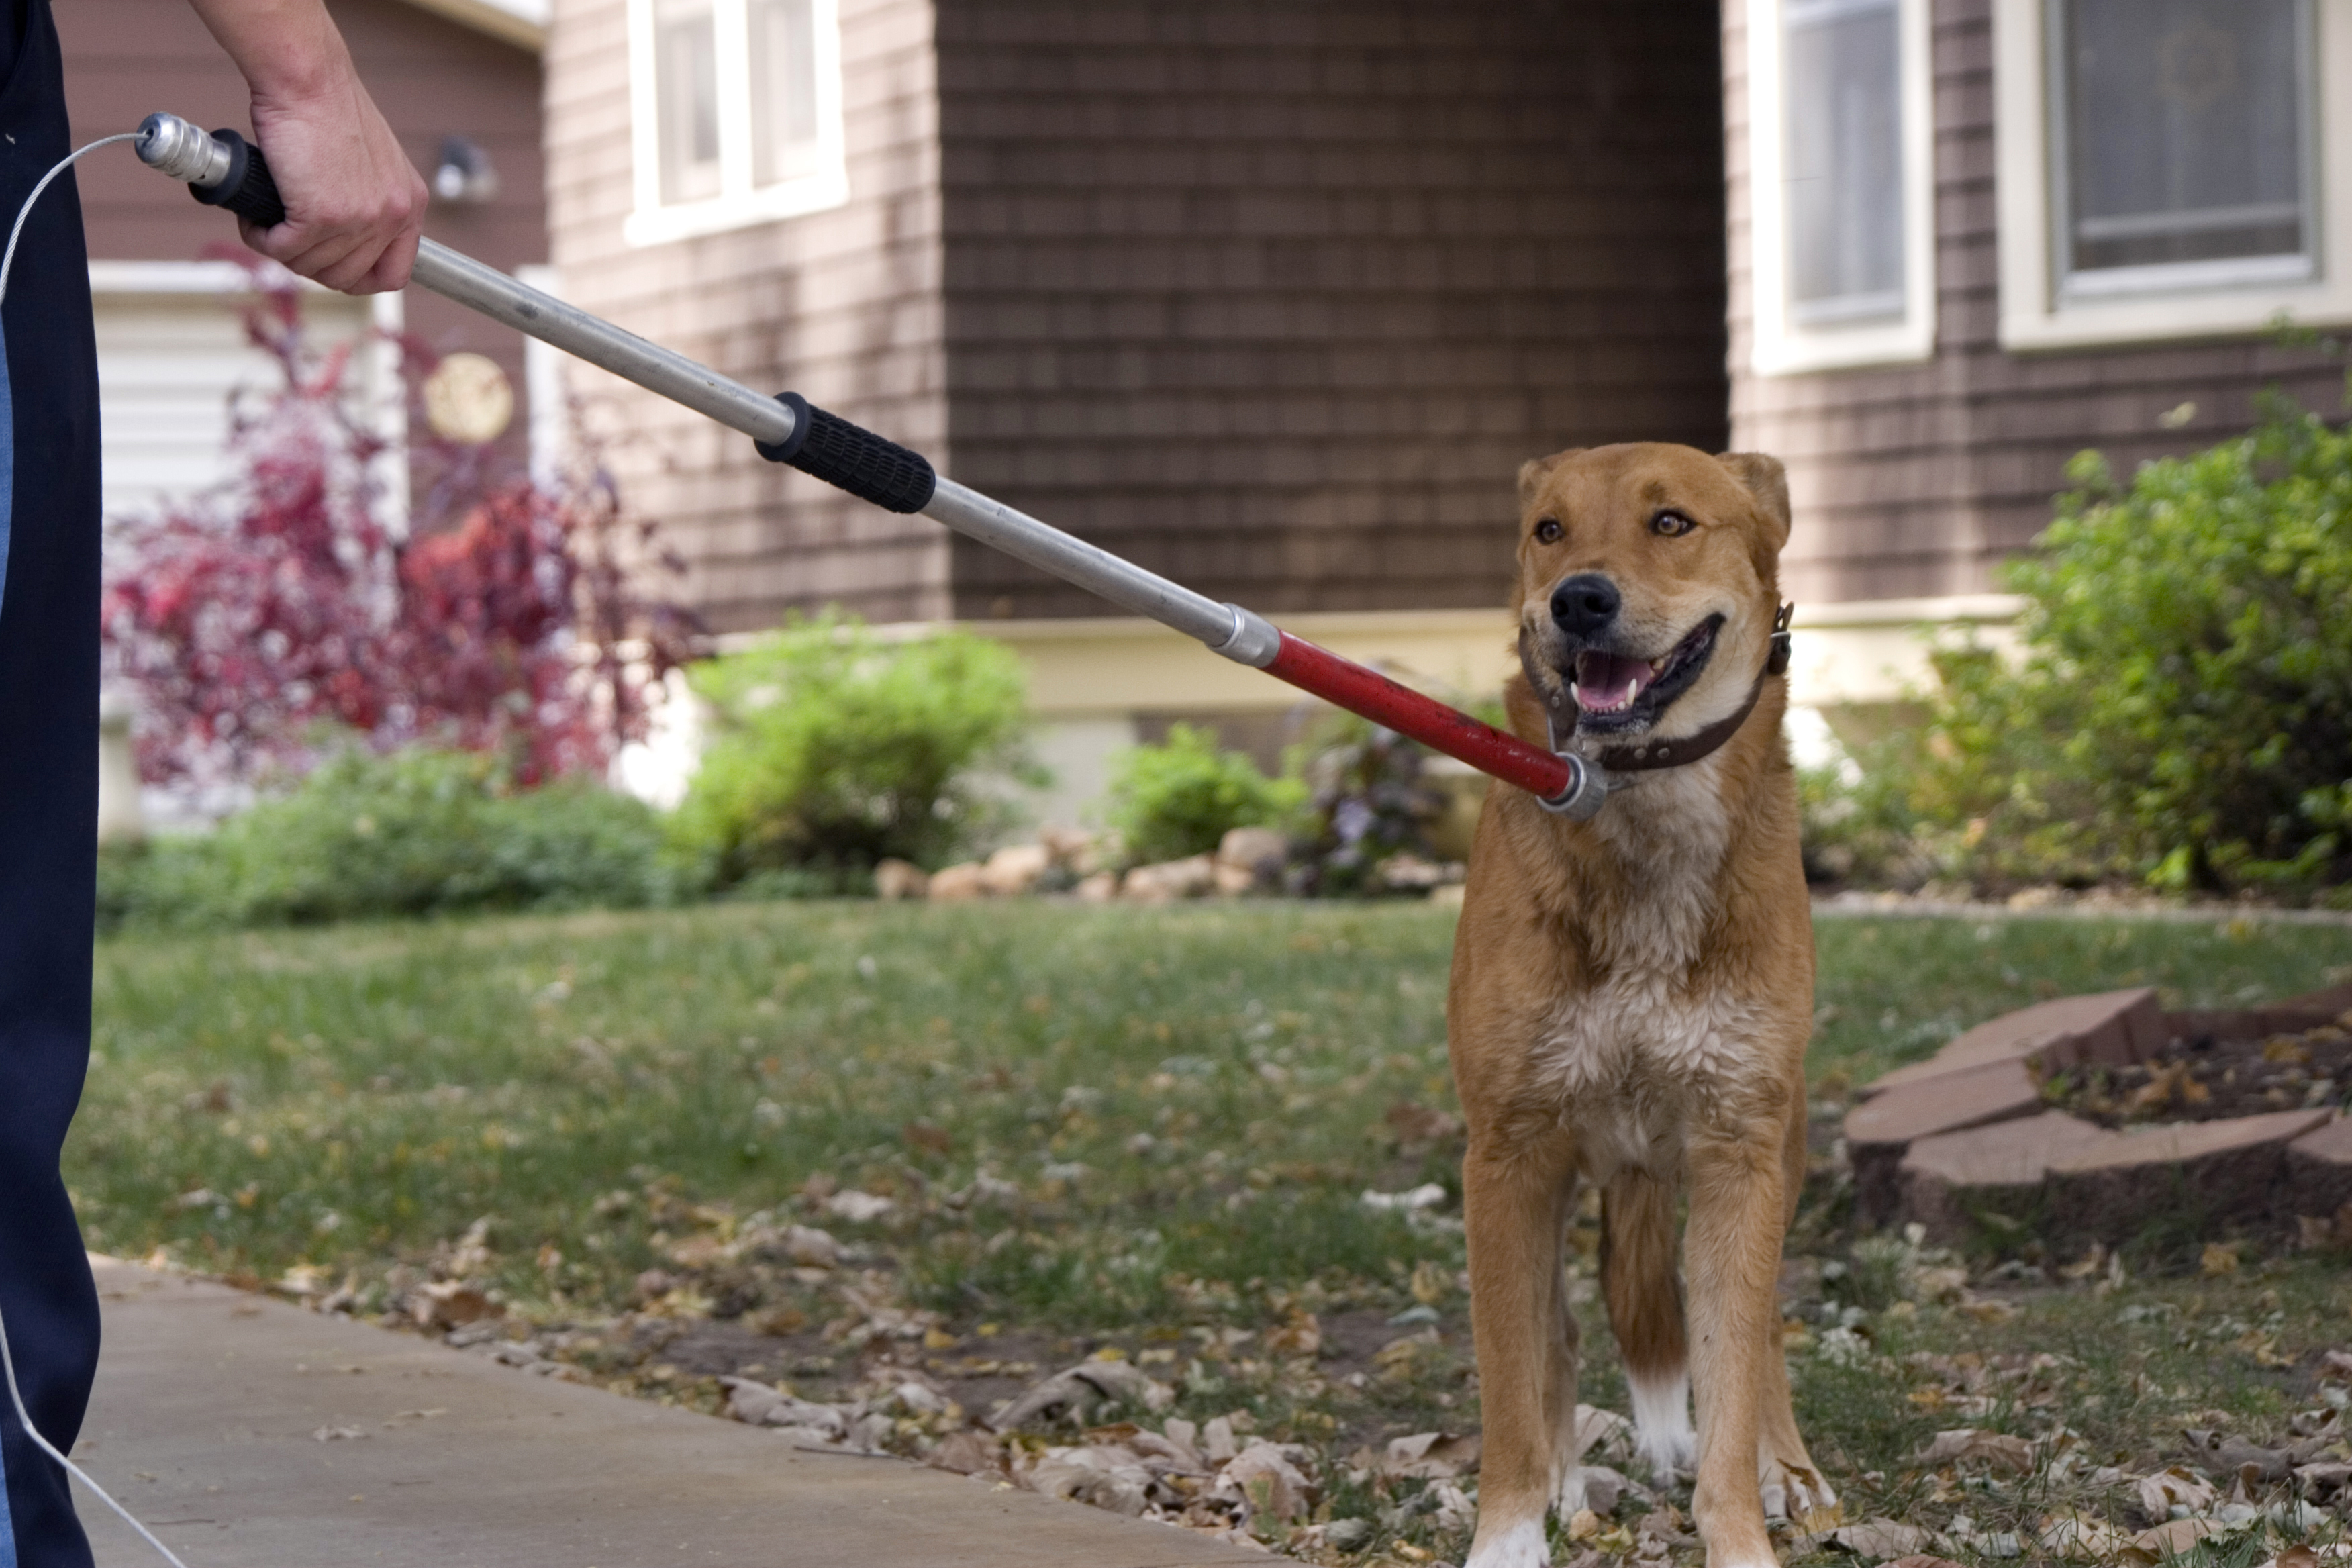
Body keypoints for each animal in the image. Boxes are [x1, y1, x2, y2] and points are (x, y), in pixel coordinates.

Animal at [1449, 442, 1834, 1568]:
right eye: (1548, 531)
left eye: (1671, 523)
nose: (1579, 599)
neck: (1637, 812)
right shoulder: (1507, 1156)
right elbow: (1513, 1385)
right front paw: (1513, 1532)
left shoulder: (1740, 1153)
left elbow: (1733, 1377)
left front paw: (1744, 1528)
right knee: (1556, 1341)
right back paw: (1567, 1480)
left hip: (1777, 1151)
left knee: (1761, 1335)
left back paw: (1791, 1468)